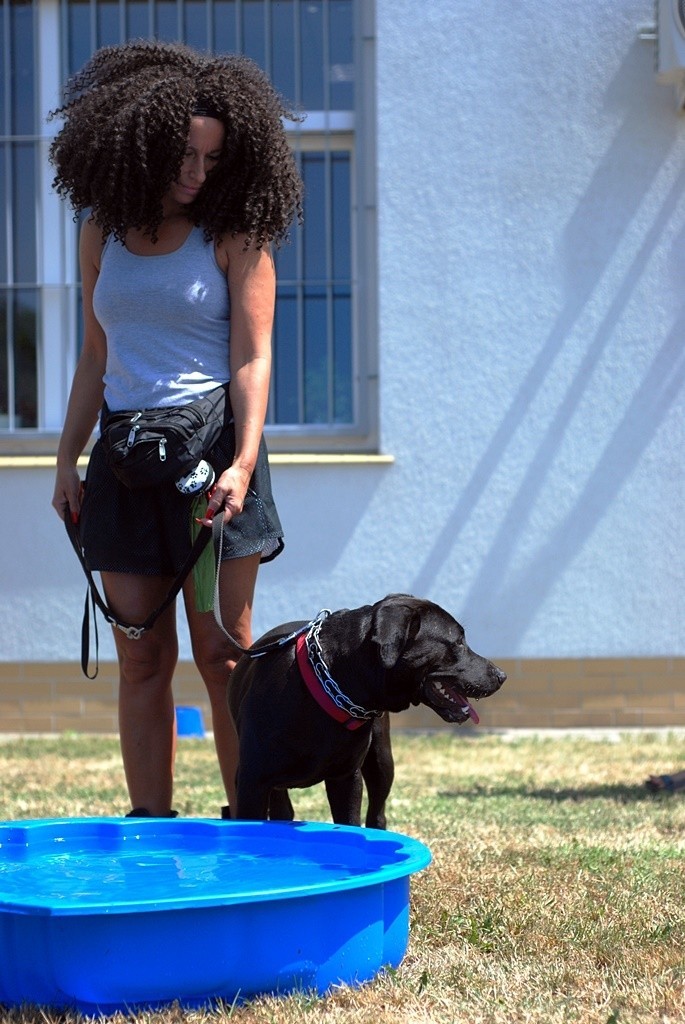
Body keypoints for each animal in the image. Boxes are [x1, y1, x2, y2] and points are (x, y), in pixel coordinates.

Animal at [227, 598, 505, 827]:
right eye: (458, 641)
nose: (501, 675)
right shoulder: (251, 783)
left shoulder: (347, 778)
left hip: (382, 760)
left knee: (377, 814)